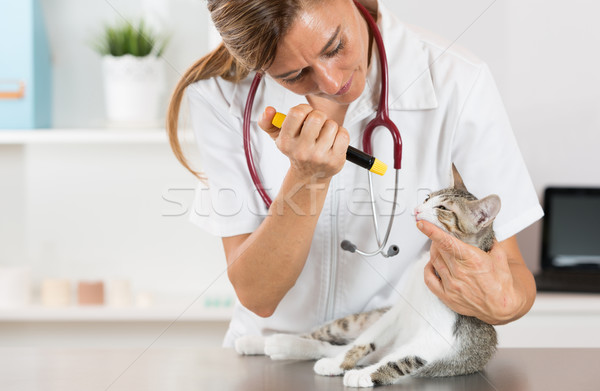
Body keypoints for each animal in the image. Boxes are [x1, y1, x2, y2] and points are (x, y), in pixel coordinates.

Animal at [234, 164, 502, 388]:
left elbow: (400, 359)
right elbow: (364, 341)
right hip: (360, 319)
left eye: (442, 208)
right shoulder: (397, 312)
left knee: (338, 348)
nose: (417, 209)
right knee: (328, 336)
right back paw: (262, 342)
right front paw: (342, 363)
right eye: (427, 198)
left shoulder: (439, 335)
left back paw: (285, 347)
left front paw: (364, 375)